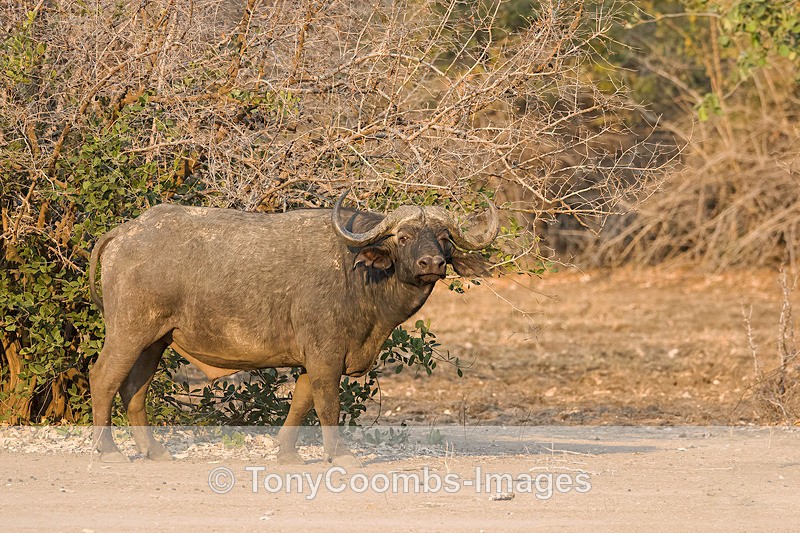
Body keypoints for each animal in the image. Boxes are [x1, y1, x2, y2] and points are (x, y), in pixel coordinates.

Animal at [89, 191, 498, 465]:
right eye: (404, 237)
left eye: (444, 238)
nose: (432, 263)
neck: (358, 275)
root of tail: (125, 232)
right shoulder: (325, 357)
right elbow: (328, 405)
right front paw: (340, 456)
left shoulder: (310, 361)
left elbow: (301, 403)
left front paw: (287, 455)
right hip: (129, 332)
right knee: (104, 377)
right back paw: (108, 451)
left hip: (155, 341)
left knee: (134, 388)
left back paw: (154, 451)